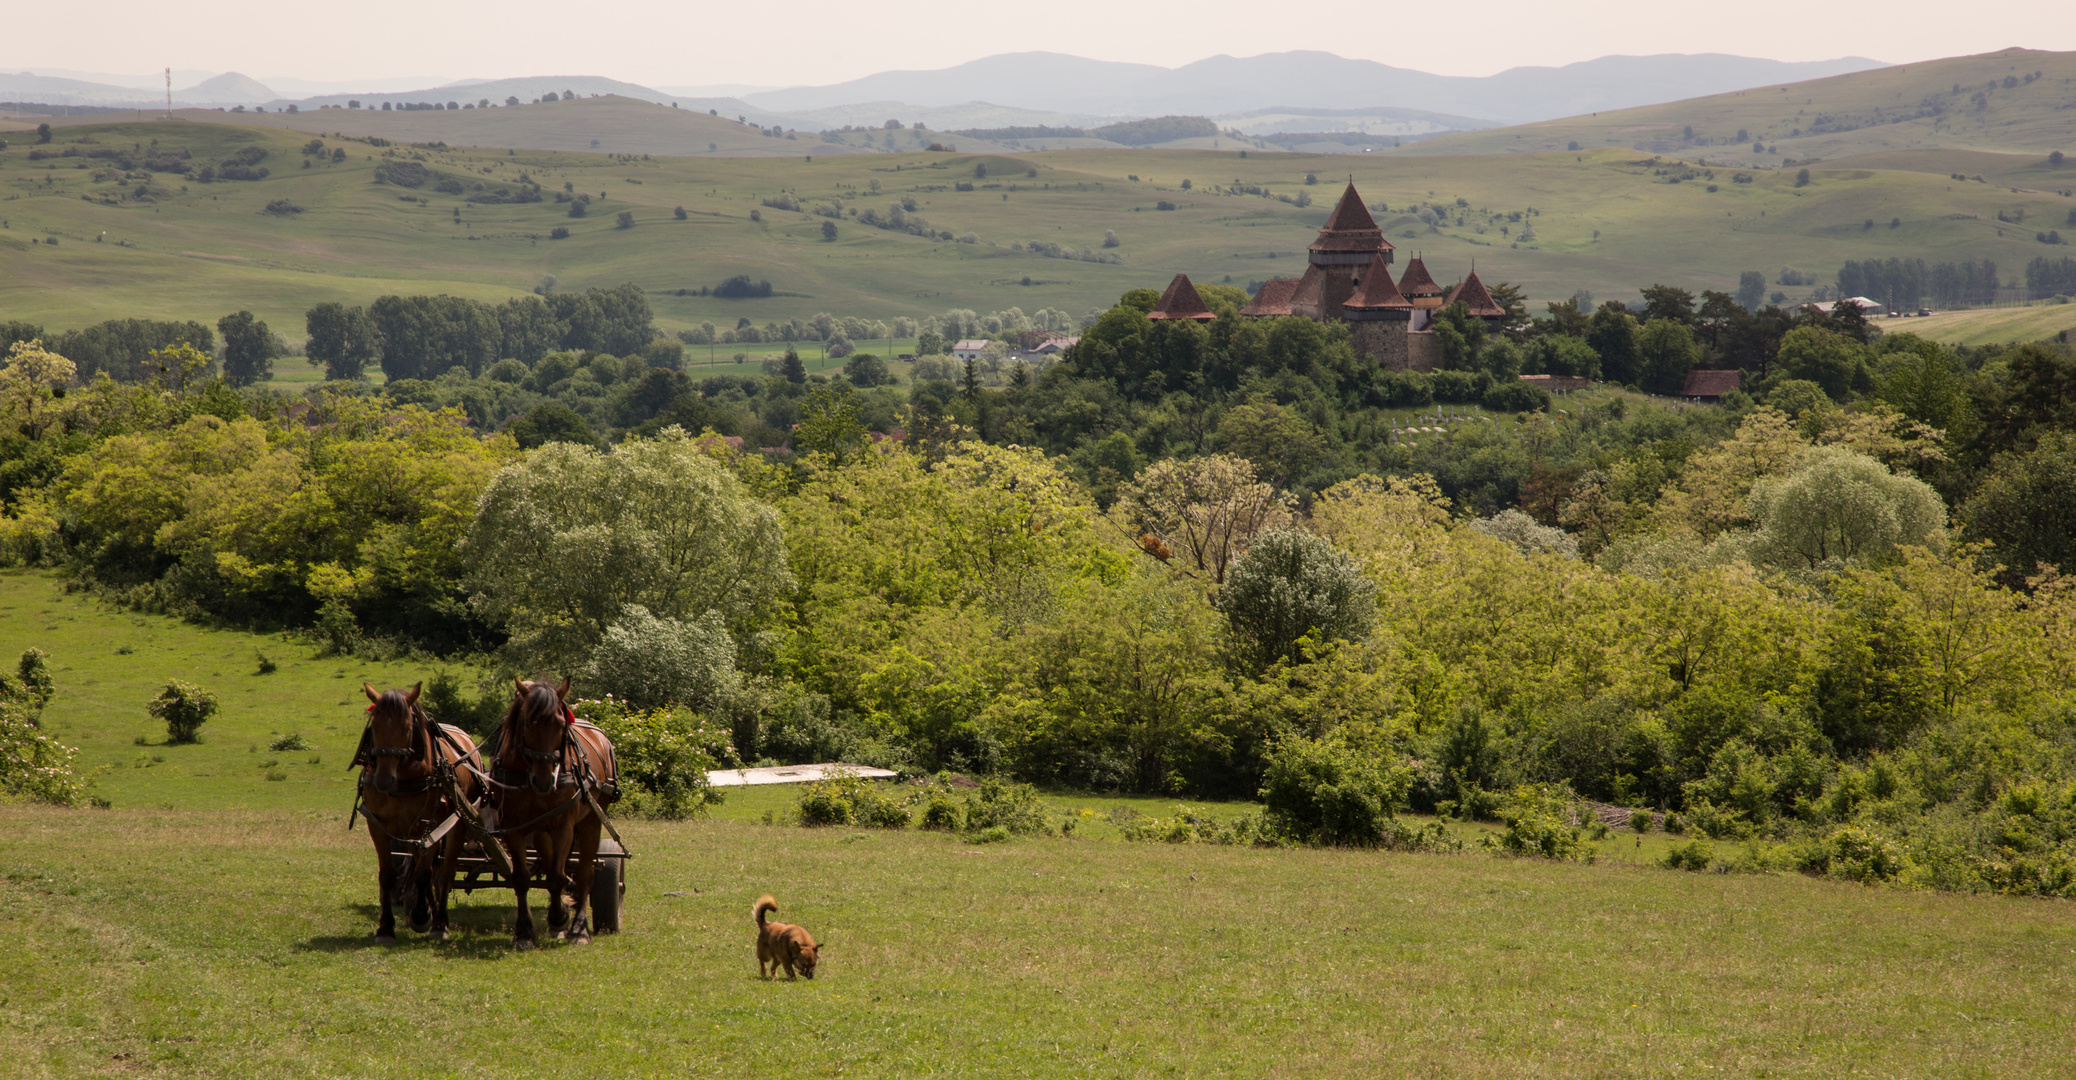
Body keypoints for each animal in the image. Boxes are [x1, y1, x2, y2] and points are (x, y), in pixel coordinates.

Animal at [359, 685, 487, 947]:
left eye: (407, 728)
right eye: (373, 727)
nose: (384, 780)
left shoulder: (431, 825)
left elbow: (423, 873)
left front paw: (421, 915)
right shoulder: (378, 825)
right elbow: (388, 875)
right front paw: (386, 927)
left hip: (455, 824)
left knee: (443, 873)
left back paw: (438, 920)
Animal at [485, 681, 614, 951]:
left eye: (560, 725)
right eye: (527, 723)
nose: (544, 780)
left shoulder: (564, 824)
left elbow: (556, 876)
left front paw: (560, 918)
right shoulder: (513, 826)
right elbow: (521, 878)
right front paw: (524, 932)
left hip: (592, 819)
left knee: (585, 873)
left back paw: (578, 928)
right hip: (541, 829)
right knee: (549, 858)